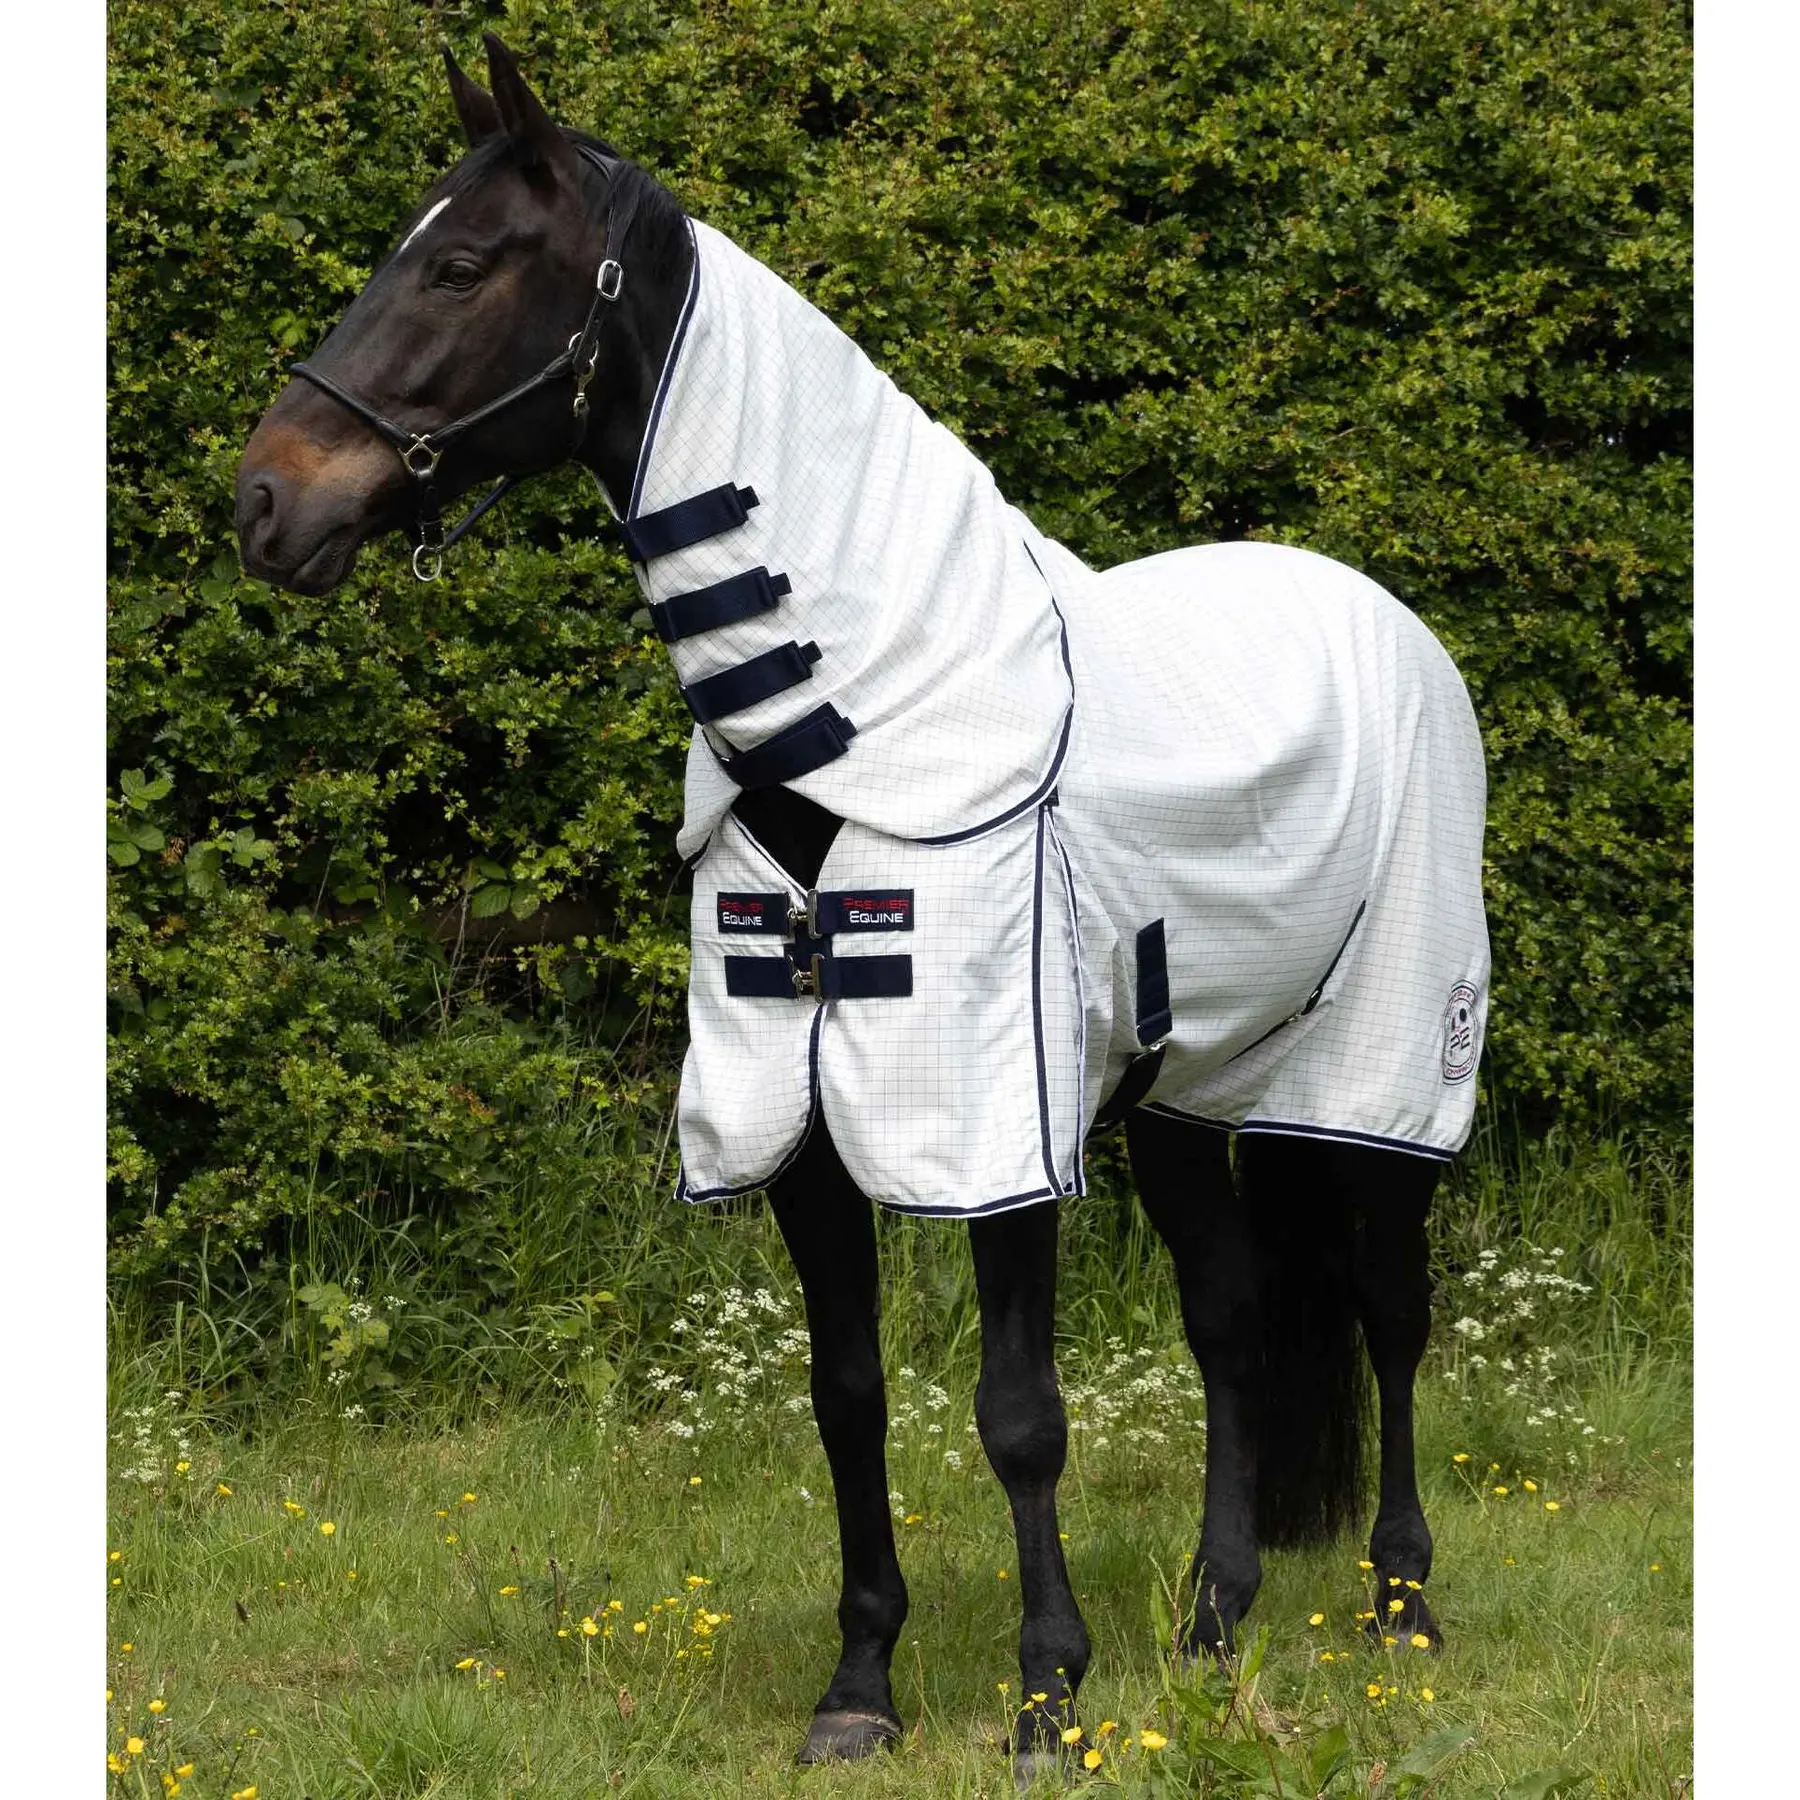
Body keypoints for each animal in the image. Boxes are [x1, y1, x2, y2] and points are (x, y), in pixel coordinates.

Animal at [237, 35, 1488, 1775]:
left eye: (463, 264)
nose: (264, 505)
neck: (870, 712)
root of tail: (1383, 617)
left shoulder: (994, 1119)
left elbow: (1021, 1417)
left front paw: (1044, 1698)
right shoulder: (801, 1116)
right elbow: (848, 1396)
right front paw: (859, 1689)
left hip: (1382, 1074)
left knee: (1389, 1314)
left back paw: (1405, 1614)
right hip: (1184, 1087)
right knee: (1236, 1326)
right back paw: (1210, 1623)